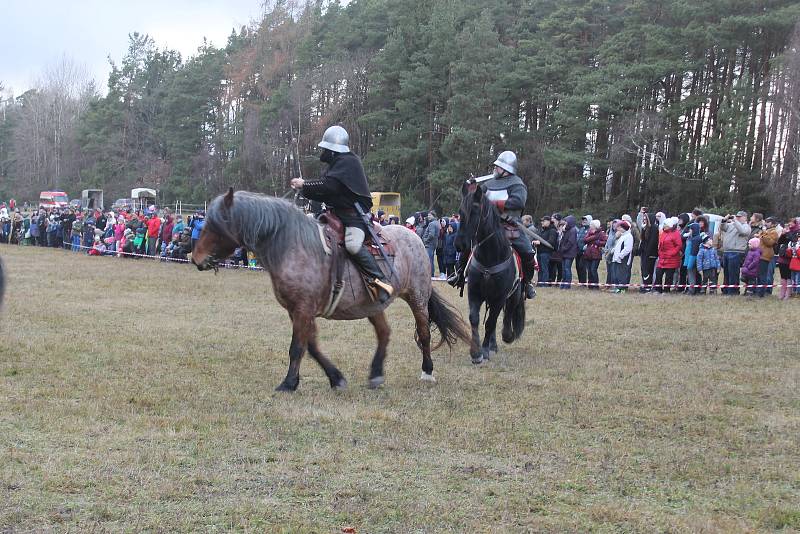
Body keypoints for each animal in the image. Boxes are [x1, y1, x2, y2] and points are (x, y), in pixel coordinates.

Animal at [190, 189, 472, 394]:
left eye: (215, 224)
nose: (196, 258)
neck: (292, 245)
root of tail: (413, 238)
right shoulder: (299, 311)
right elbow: (311, 346)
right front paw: (335, 378)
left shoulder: (303, 310)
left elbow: (298, 347)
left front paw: (288, 383)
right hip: (373, 305)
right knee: (384, 333)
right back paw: (376, 373)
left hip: (417, 297)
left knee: (424, 333)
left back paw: (427, 371)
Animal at [454, 181, 528, 364]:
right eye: (460, 212)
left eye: (475, 211)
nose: (459, 244)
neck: (490, 256)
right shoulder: (475, 293)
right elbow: (475, 319)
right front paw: (476, 352)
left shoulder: (499, 296)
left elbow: (491, 322)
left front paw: (485, 351)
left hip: (512, 295)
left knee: (506, 314)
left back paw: (505, 337)